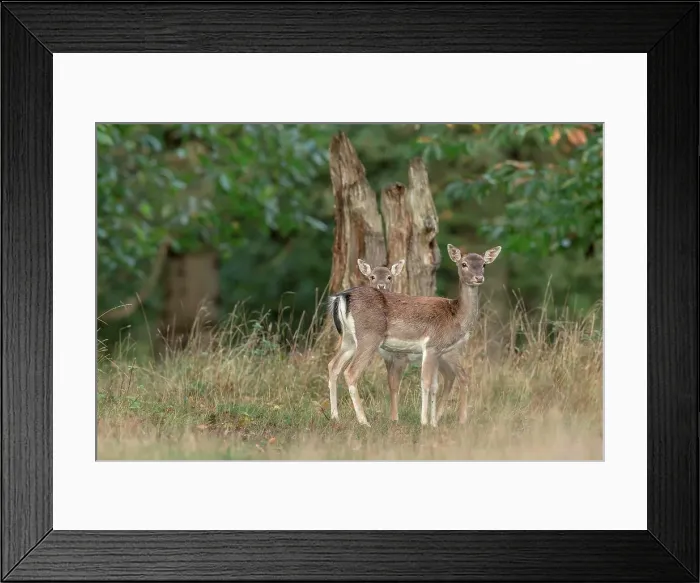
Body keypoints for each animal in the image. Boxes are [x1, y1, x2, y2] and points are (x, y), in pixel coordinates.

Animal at [327, 243, 501, 428]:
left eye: (484, 264)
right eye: (464, 264)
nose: (478, 278)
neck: (455, 316)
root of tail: (342, 297)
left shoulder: (438, 351)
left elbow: (434, 385)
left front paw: (433, 423)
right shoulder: (431, 345)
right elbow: (425, 382)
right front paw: (424, 422)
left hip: (349, 339)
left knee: (333, 365)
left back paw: (335, 416)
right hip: (369, 336)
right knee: (351, 372)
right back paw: (364, 421)